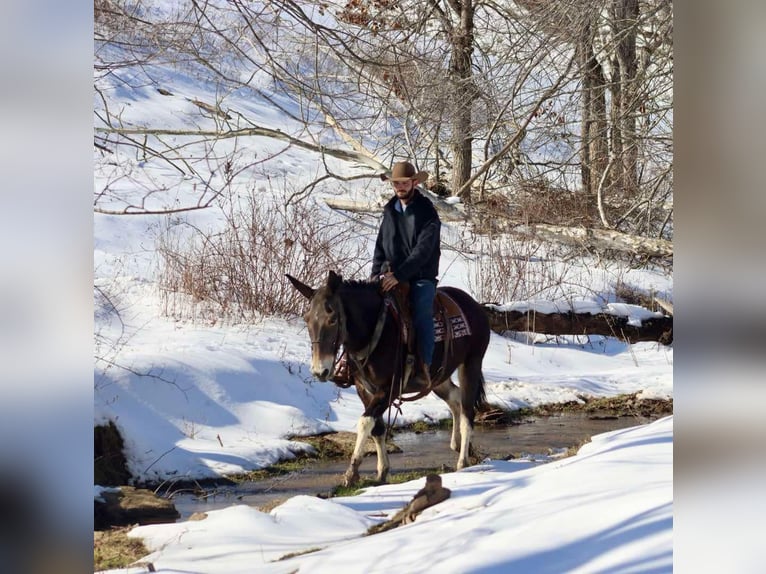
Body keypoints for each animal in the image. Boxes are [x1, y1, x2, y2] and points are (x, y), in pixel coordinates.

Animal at [287, 270, 491, 486]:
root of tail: (475, 306)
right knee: (455, 398)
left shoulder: (389, 389)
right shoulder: (364, 389)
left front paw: (352, 473)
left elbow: (365, 422)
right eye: (307, 319)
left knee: (467, 410)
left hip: (471, 364)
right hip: (439, 378)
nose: (320, 371)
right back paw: (459, 445)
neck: (375, 332)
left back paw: (463, 461)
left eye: (332, 318)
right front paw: (381, 471)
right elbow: (377, 427)